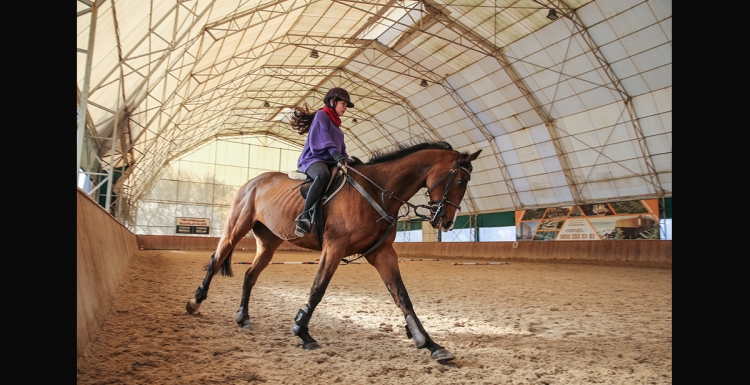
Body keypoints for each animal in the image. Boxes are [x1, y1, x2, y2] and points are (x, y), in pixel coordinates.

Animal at [185, 140, 484, 362]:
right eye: (460, 182)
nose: (446, 222)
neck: (378, 192)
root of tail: (253, 182)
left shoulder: (382, 253)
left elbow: (402, 296)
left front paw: (429, 343)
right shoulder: (334, 247)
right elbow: (318, 289)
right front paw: (302, 331)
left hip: (269, 243)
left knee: (249, 275)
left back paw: (243, 317)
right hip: (236, 227)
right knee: (216, 260)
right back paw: (195, 302)